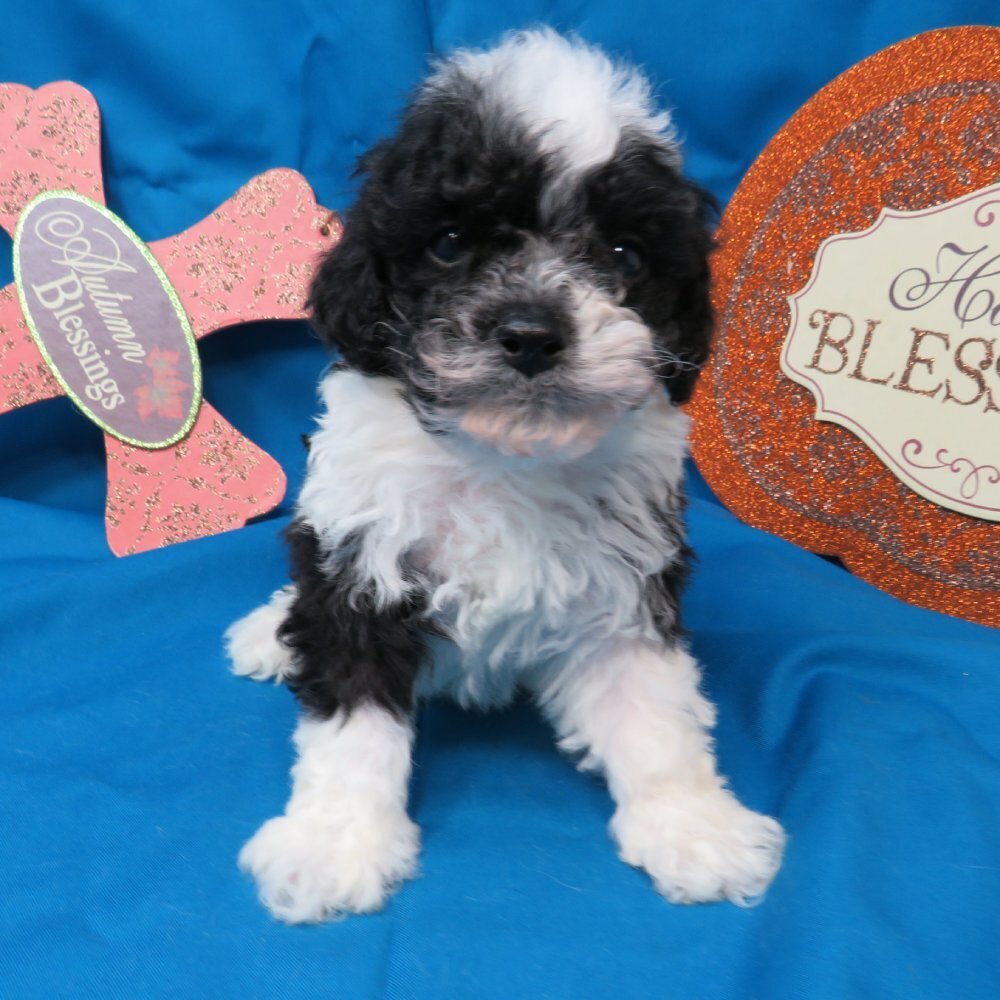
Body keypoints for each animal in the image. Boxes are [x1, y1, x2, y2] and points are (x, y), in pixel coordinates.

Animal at [226, 28, 785, 923]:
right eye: (450, 243)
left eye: (623, 254)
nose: (530, 333)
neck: (503, 461)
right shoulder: (364, 557)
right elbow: (351, 719)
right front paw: (333, 843)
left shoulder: (625, 579)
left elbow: (654, 710)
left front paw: (694, 826)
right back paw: (270, 629)